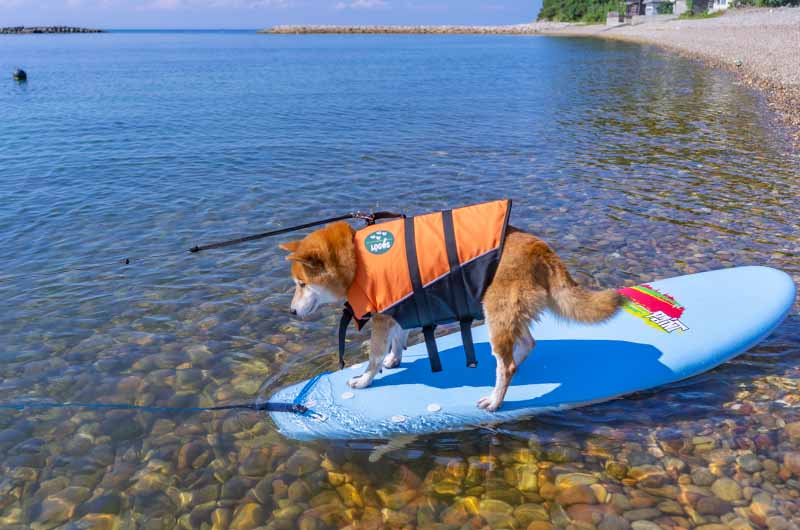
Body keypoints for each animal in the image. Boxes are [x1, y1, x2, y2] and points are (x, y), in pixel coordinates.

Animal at [278, 221, 620, 410]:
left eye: (301, 284)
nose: (291, 311)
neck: (357, 258)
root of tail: (540, 248)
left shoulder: (381, 318)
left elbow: (374, 356)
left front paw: (365, 379)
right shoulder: (398, 308)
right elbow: (398, 339)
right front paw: (394, 359)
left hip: (496, 313)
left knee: (506, 365)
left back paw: (495, 399)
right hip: (509, 314)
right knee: (525, 346)